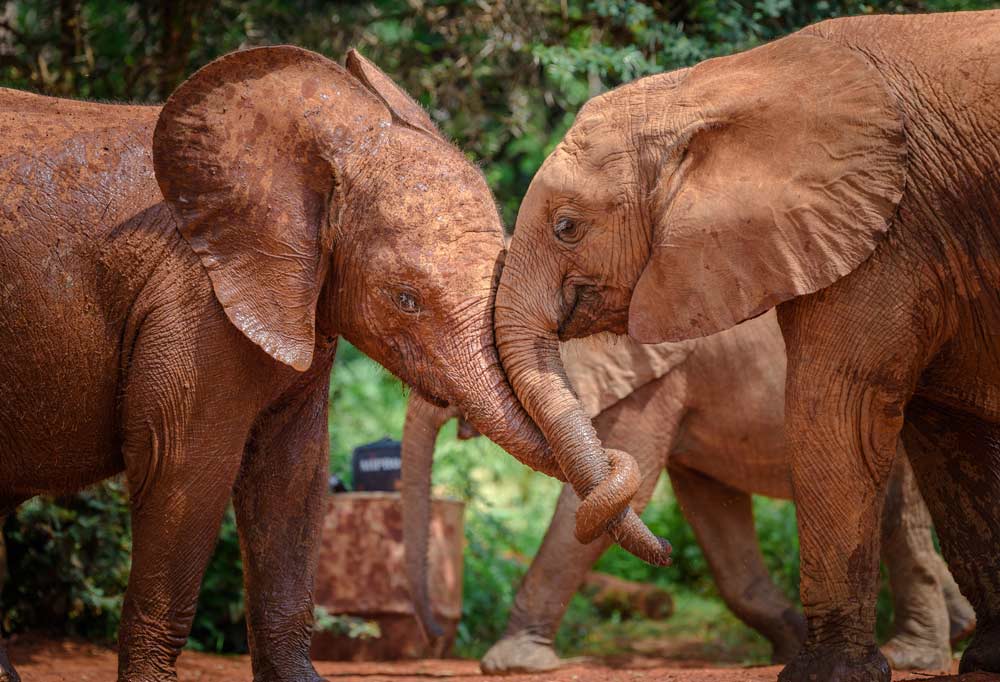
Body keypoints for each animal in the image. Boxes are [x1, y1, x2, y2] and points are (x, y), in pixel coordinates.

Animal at [400, 312, 976, 668]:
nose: (435, 633)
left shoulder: (656, 376)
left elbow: (609, 498)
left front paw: (513, 663)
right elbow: (714, 517)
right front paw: (790, 648)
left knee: (899, 508)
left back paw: (914, 655)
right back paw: (957, 632)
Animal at [490, 10, 1000, 680]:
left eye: (566, 227)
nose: (664, 555)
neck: (715, 86)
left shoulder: (888, 230)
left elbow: (834, 410)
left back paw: (914, 654)